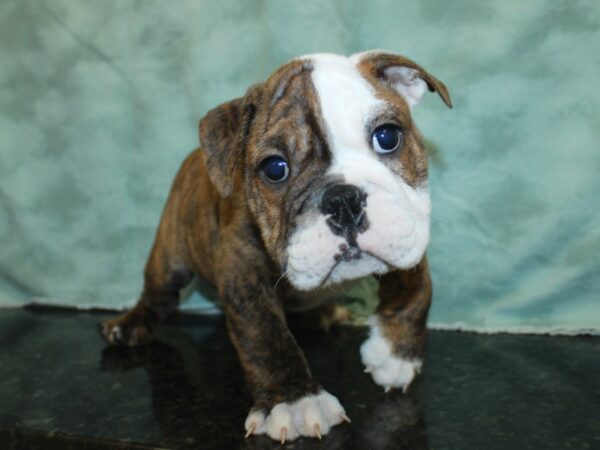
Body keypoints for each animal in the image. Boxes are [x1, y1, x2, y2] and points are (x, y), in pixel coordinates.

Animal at [102, 50, 450, 442]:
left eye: (387, 137)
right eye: (274, 168)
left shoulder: (408, 229)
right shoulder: (241, 271)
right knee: (158, 296)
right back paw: (128, 325)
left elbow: (418, 288)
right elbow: (265, 335)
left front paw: (395, 353)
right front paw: (294, 400)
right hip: (169, 257)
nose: (343, 200)